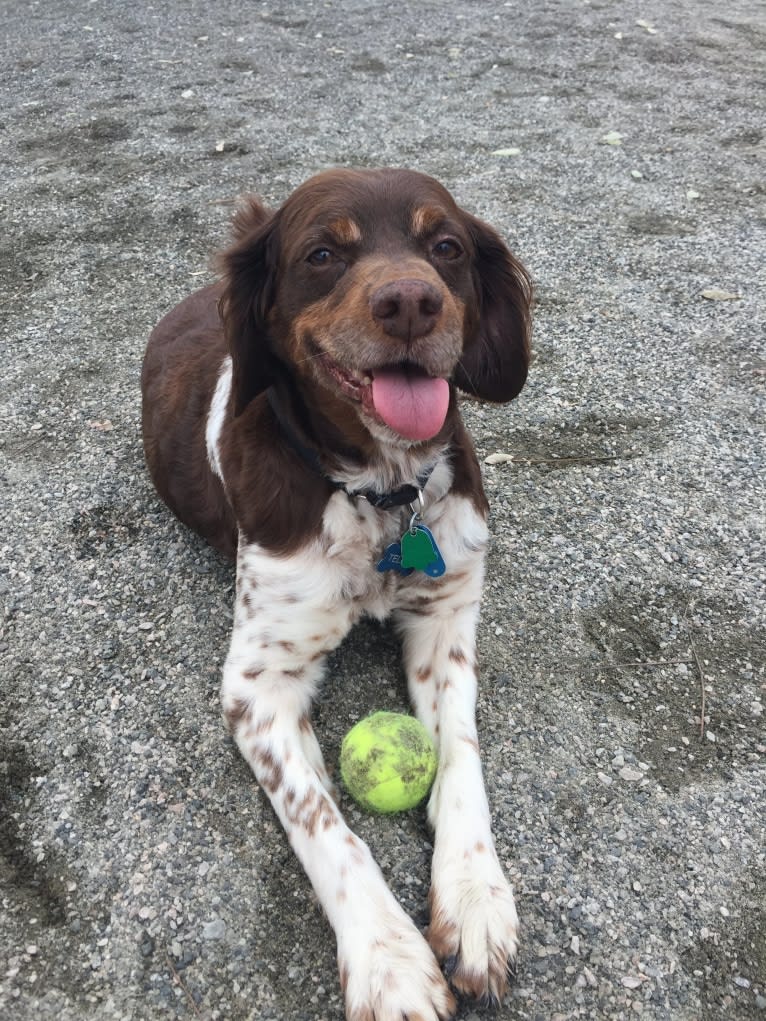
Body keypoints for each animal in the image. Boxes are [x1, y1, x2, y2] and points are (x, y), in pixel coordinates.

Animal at [139, 169, 535, 1021]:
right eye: (323, 253)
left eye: (445, 245)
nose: (411, 302)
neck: (381, 493)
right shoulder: (257, 682)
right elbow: (322, 821)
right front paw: (390, 961)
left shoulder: (447, 616)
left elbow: (462, 755)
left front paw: (476, 900)